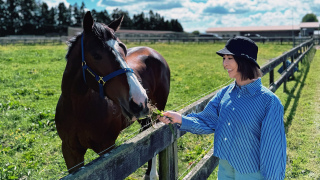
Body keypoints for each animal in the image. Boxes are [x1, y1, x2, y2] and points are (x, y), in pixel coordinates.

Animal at [55, 10, 170, 177]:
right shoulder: (71, 153)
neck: (77, 109)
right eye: (96, 55)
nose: (139, 100)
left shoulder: (107, 150)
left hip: (157, 110)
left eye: (124, 50)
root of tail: (153, 51)